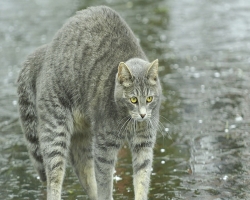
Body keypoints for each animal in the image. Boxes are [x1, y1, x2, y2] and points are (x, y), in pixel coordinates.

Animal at [17, 5, 162, 200]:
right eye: (133, 99)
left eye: (149, 99)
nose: (143, 114)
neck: (130, 122)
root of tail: (46, 50)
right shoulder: (104, 146)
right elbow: (105, 182)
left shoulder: (144, 143)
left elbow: (142, 178)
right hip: (56, 130)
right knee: (54, 178)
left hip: (82, 137)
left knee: (83, 171)